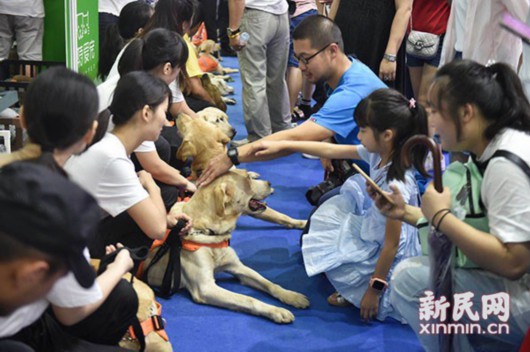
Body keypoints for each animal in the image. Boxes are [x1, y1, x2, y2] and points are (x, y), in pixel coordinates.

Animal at [168, 169, 310, 324]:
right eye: (247, 179)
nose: (269, 183)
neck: (209, 232)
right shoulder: (205, 287)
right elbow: (248, 299)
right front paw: (277, 311)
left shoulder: (238, 267)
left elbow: (269, 284)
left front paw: (292, 296)